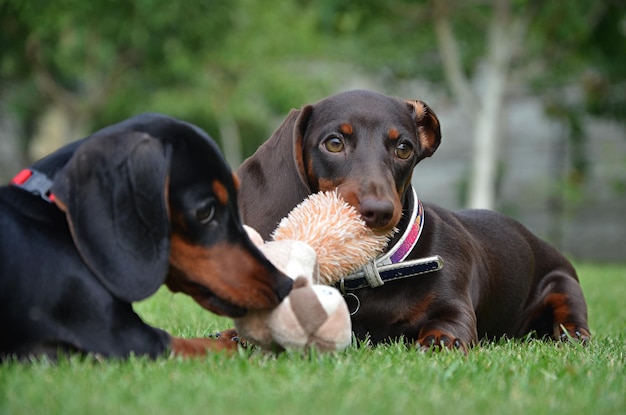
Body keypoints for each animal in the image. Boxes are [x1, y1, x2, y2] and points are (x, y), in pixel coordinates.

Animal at [235, 90, 588, 352]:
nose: (380, 211)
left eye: (403, 148)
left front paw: (440, 341)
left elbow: (448, 325)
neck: (375, 269)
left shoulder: (455, 307)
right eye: (334, 143)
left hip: (564, 284)